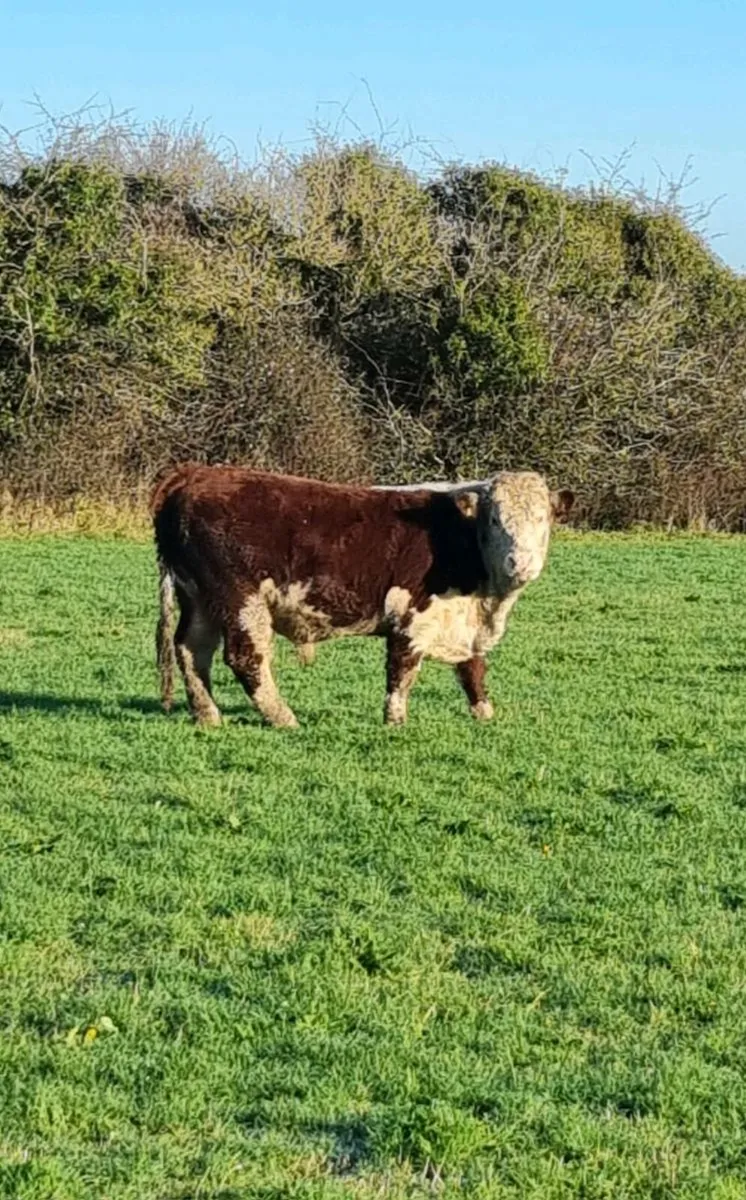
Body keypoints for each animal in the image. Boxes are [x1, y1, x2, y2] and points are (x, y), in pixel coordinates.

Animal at [151, 464, 573, 729]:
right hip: (241, 599)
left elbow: (473, 669)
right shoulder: (411, 618)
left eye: (543, 520)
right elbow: (401, 672)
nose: (520, 562)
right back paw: (284, 718)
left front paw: (485, 714)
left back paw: (209, 715)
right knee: (245, 657)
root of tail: (197, 474)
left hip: (200, 599)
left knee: (191, 650)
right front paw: (395, 722)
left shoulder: (464, 623)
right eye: (495, 519)